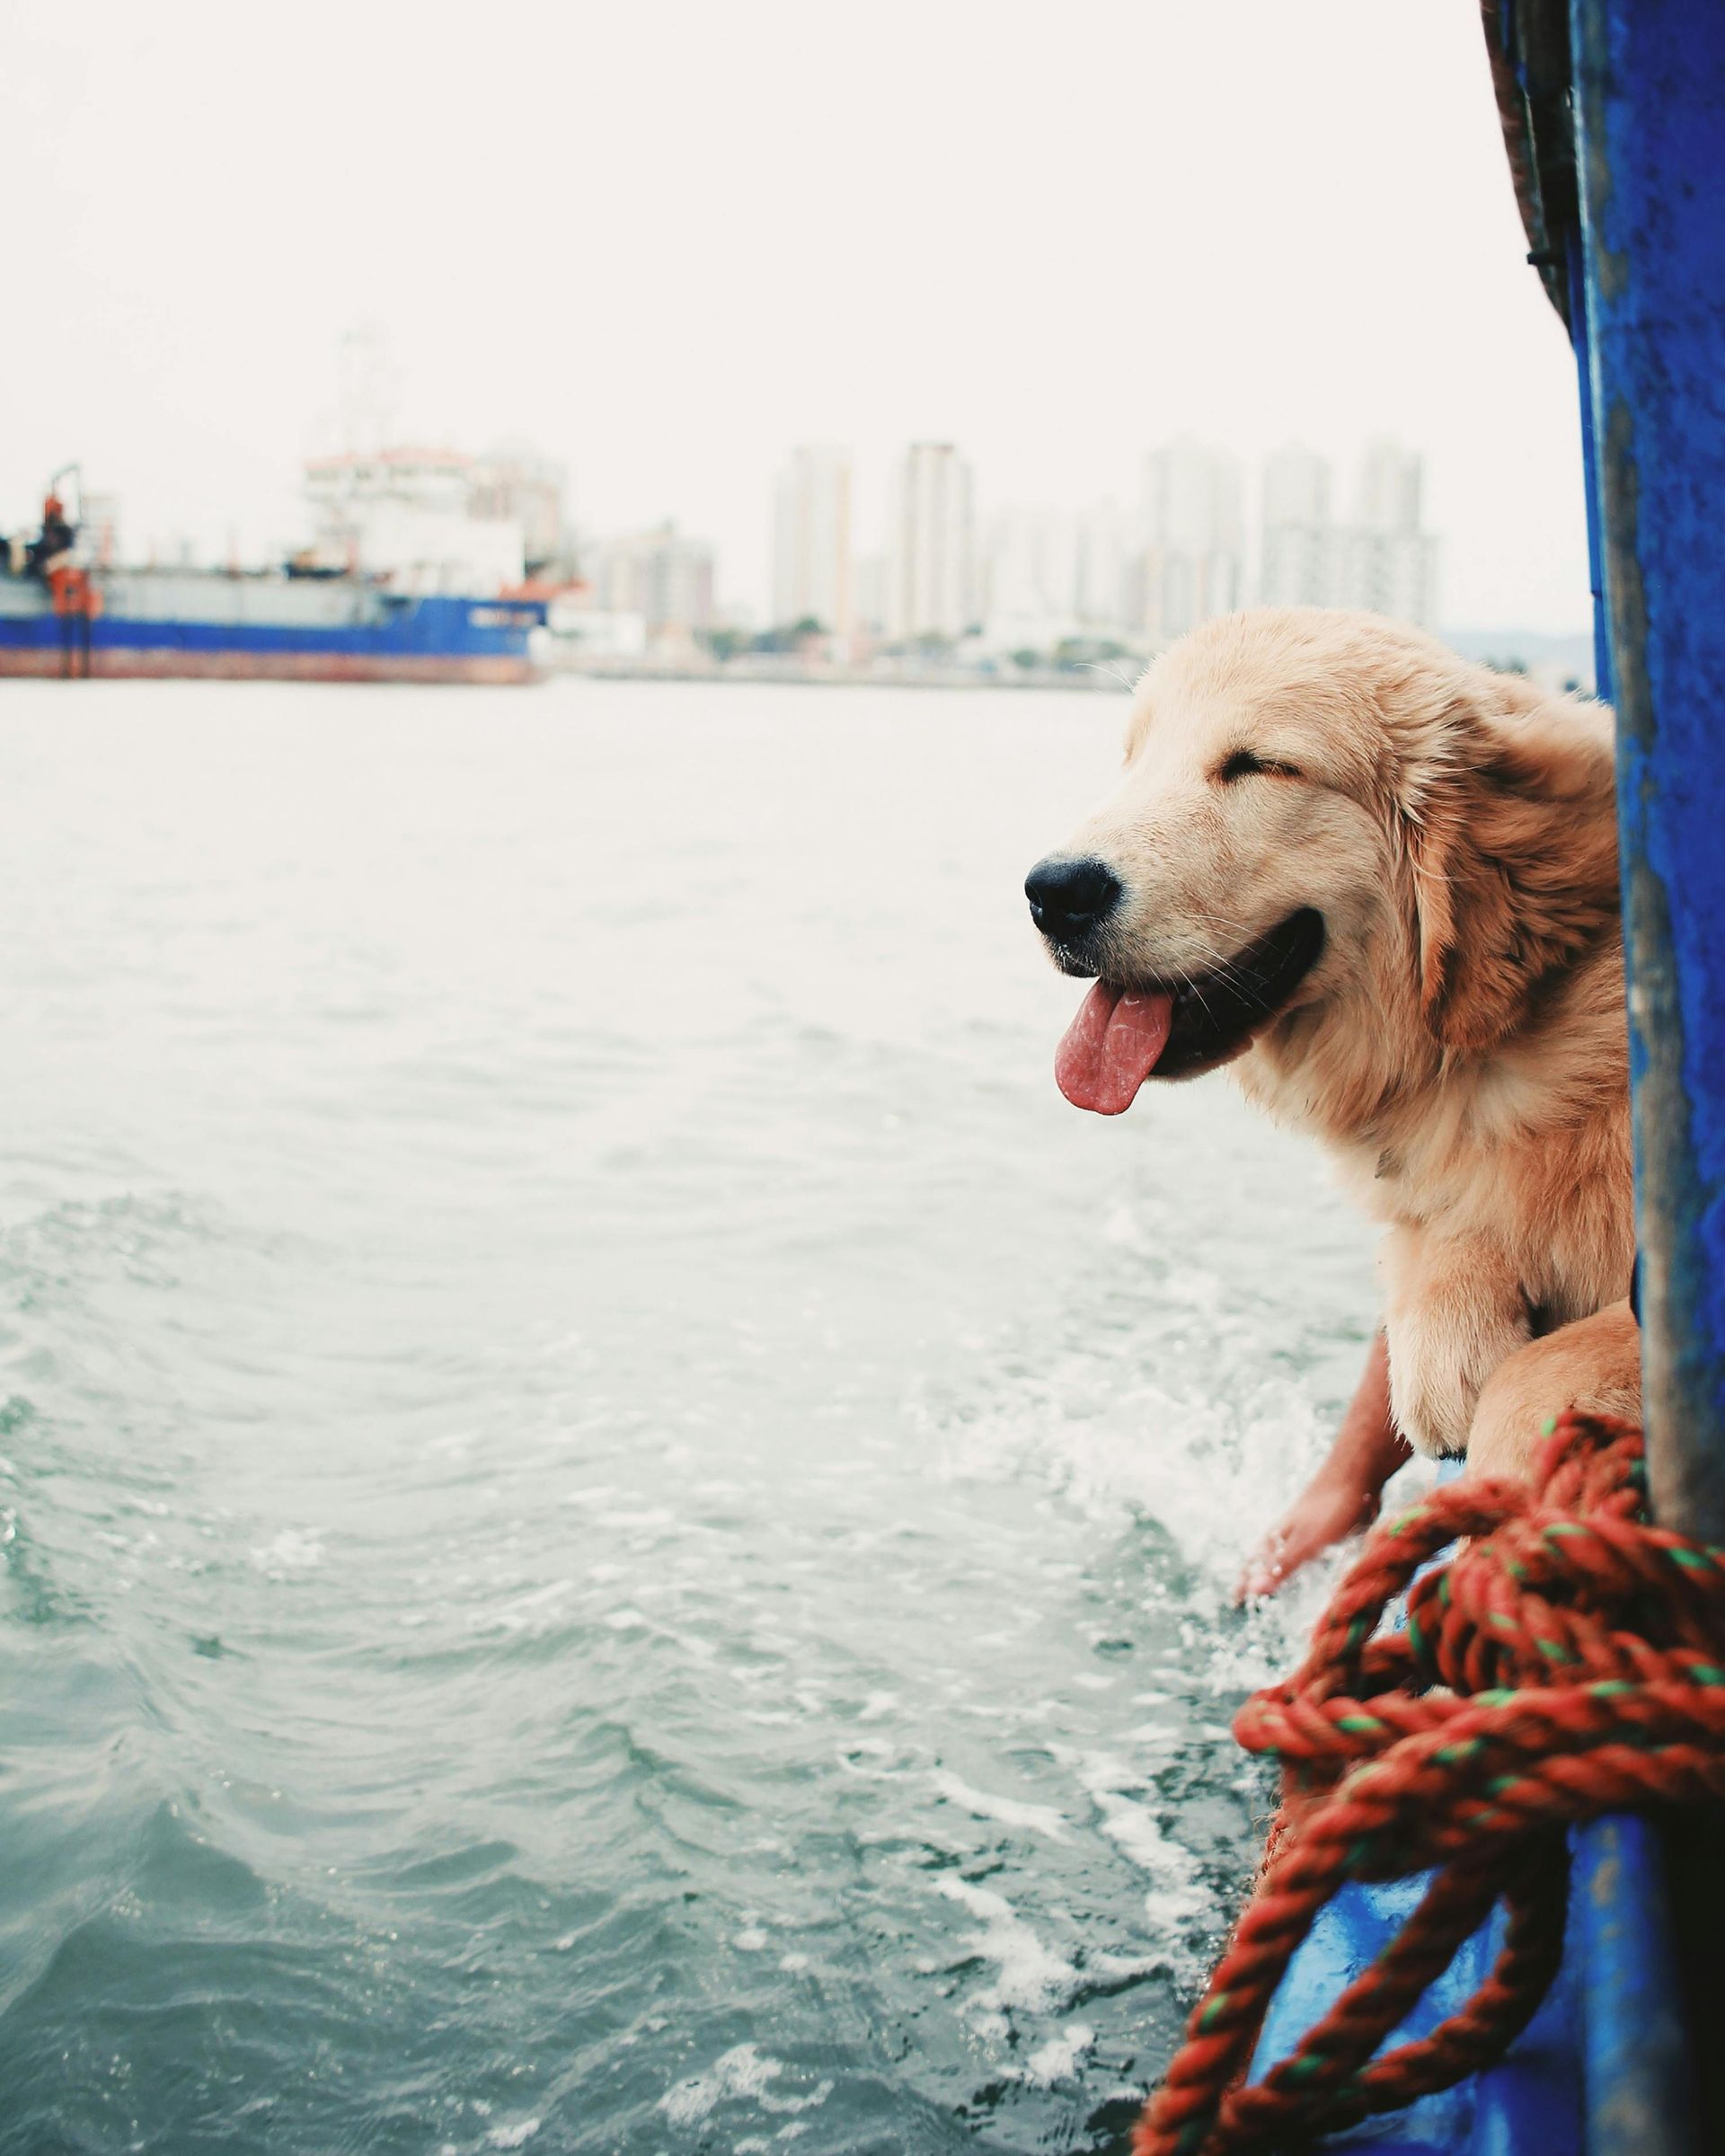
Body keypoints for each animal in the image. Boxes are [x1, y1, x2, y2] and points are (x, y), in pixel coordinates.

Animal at [1031, 607, 1639, 1483]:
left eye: (1261, 766)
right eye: (1136, 758)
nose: (1053, 893)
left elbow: (1539, 1377)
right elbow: (1435, 1237)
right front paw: (1446, 1339)